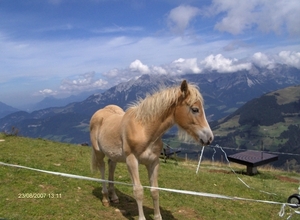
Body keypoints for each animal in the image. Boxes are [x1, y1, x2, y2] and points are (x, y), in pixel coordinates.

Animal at [89, 80, 213, 220]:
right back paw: (105, 198)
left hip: (113, 155)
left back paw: (114, 197)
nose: (209, 138)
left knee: (111, 166)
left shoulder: (153, 162)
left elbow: (155, 190)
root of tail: (99, 113)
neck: (144, 130)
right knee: (102, 168)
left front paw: (157, 216)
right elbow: (138, 191)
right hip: (99, 152)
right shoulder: (132, 161)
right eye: (195, 109)